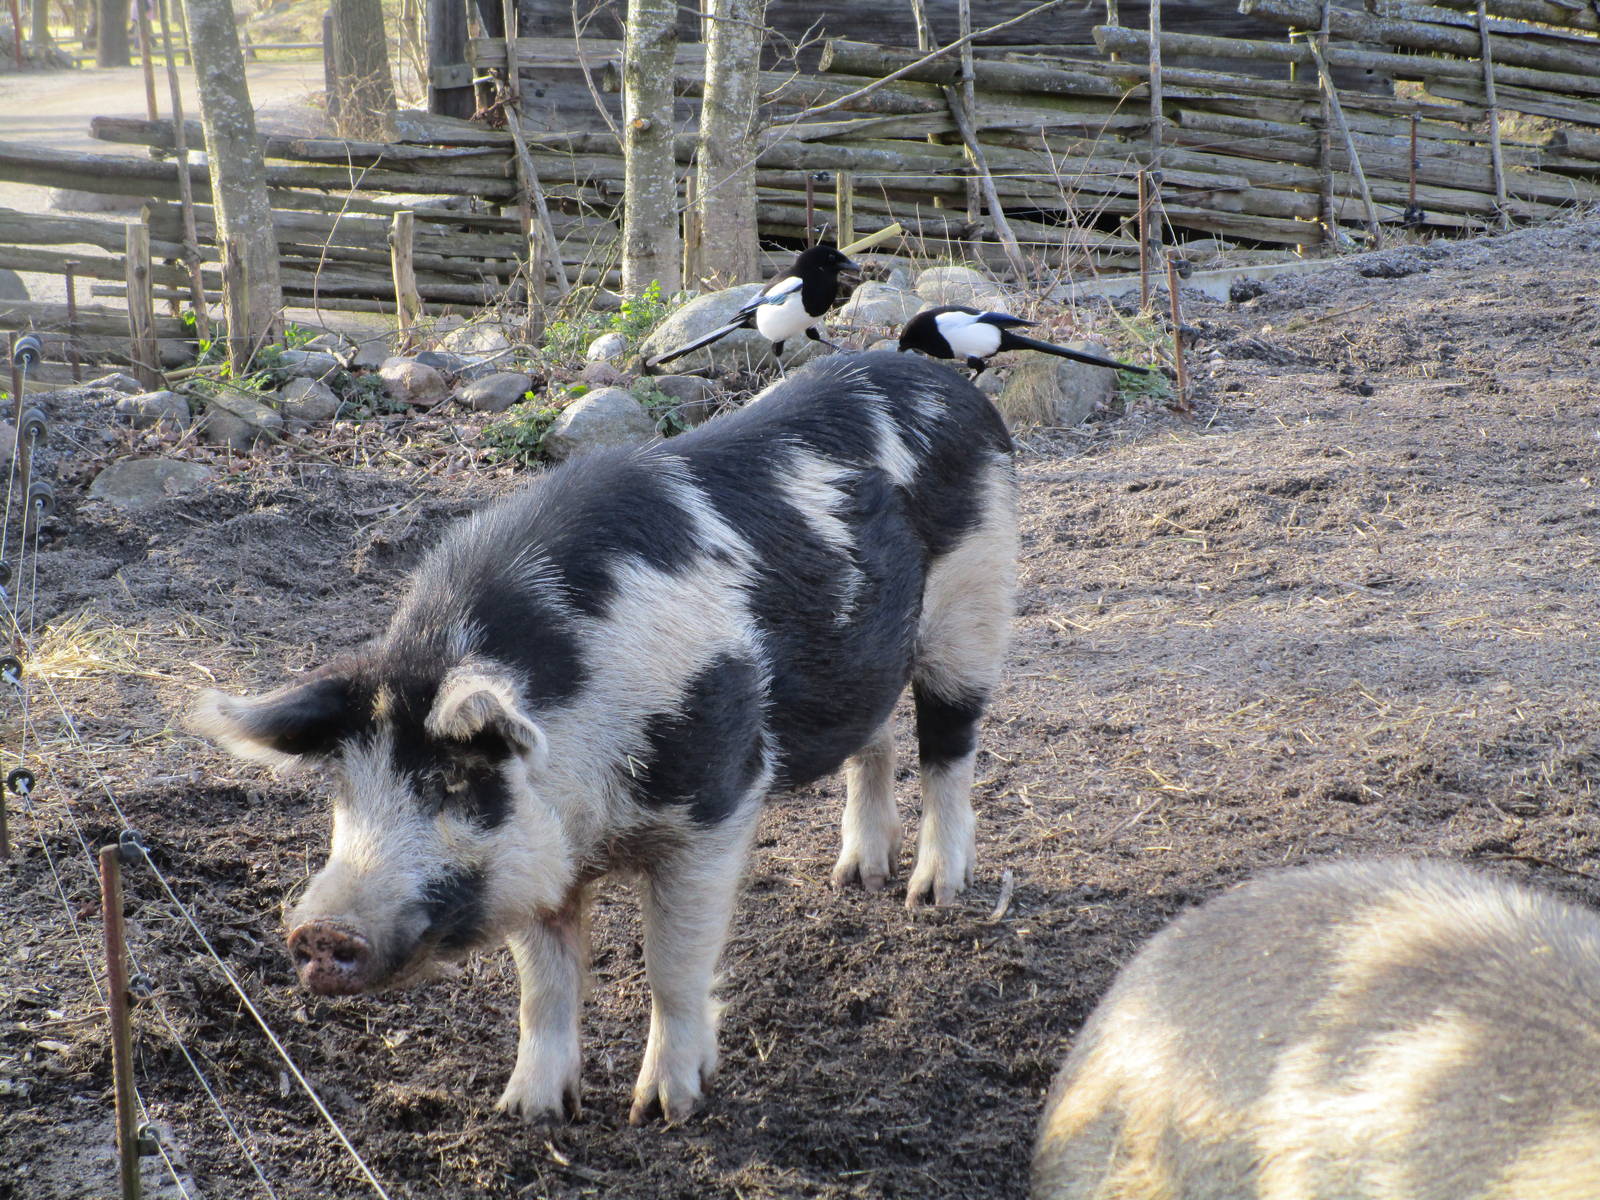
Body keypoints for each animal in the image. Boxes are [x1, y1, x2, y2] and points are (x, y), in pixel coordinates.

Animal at [194, 350, 1017, 1123]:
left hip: (973, 607)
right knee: (873, 741)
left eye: (456, 782)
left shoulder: (714, 806)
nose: (319, 931)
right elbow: (544, 986)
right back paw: (857, 878)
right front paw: (528, 1113)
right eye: (345, 792)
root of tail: (944, 379)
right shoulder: (537, 856)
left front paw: (664, 1110)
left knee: (949, 750)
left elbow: (672, 967)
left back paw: (931, 895)